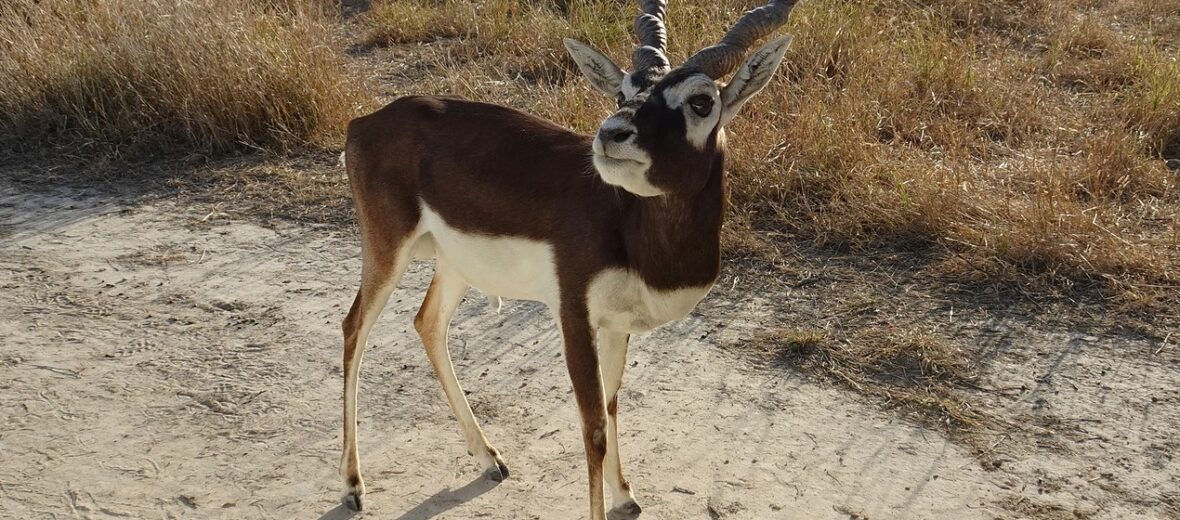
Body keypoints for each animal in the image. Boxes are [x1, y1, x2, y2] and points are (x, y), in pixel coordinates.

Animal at [342, 2, 802, 516]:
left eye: (701, 101)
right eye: (624, 90)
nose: (611, 132)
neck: (629, 224)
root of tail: (365, 122)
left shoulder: (618, 324)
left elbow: (612, 404)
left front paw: (626, 493)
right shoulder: (573, 312)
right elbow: (593, 428)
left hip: (455, 264)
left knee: (428, 323)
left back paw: (490, 459)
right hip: (387, 248)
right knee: (354, 328)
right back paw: (353, 486)